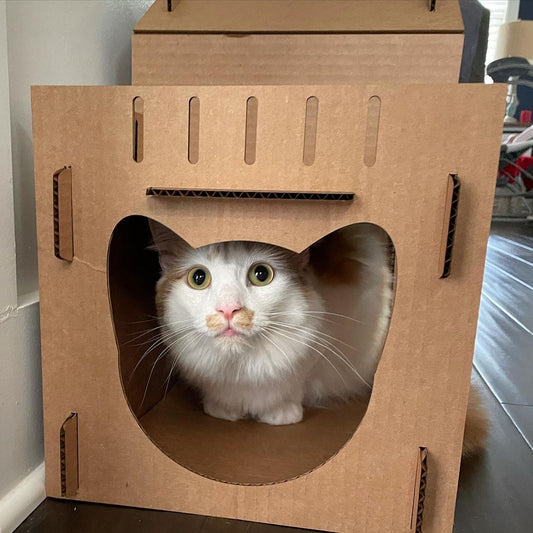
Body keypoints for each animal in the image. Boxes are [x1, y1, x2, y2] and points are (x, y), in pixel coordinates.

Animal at [149, 218, 486, 456]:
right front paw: (222, 410)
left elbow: (292, 388)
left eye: (261, 274)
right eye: (199, 278)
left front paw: (281, 414)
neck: (243, 369)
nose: (229, 309)